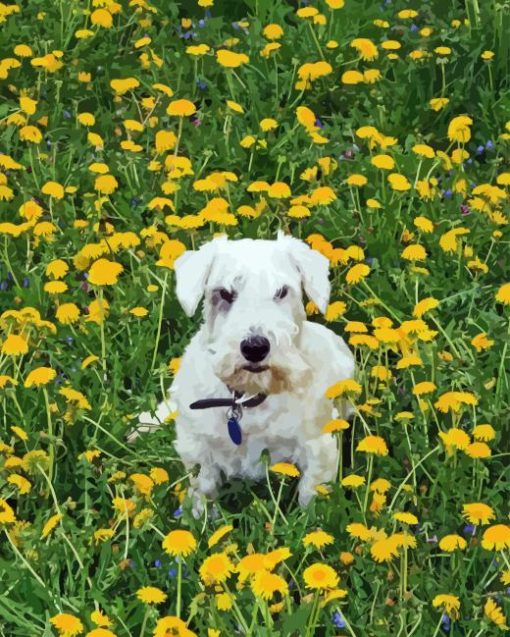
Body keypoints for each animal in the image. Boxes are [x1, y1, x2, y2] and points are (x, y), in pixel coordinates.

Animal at [137, 232, 356, 516]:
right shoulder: (197, 448)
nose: (255, 347)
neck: (248, 397)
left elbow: (311, 499)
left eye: (282, 291)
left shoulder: (317, 447)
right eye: (224, 293)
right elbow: (203, 492)